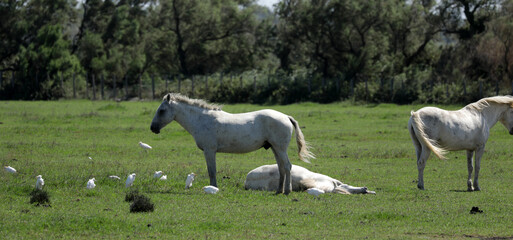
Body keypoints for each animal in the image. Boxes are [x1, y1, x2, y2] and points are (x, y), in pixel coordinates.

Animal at [150, 93, 314, 194]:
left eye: (162, 110)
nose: (153, 128)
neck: (202, 120)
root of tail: (286, 116)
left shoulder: (209, 151)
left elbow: (212, 171)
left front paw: (213, 188)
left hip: (280, 148)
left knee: (287, 166)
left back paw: (286, 191)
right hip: (275, 148)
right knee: (281, 168)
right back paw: (279, 190)